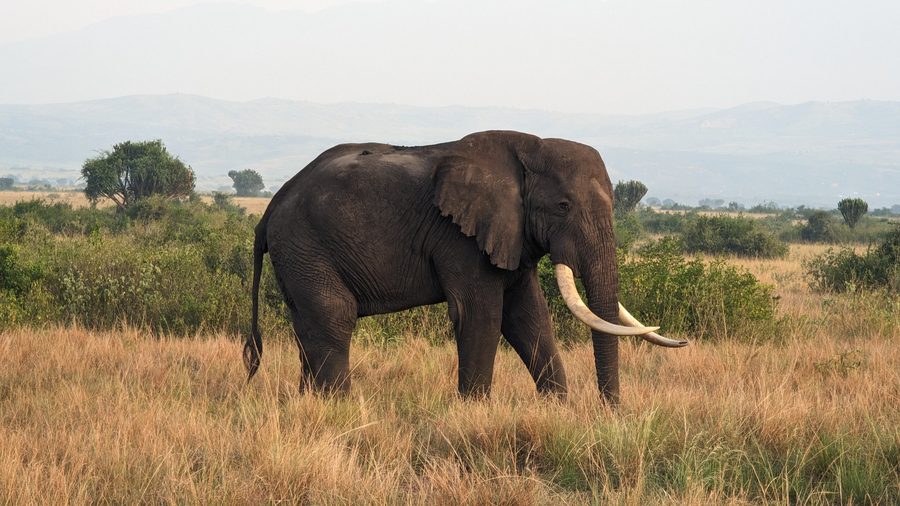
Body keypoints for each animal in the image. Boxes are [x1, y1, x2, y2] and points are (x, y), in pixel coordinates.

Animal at [243, 130, 687, 403]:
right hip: (306, 245)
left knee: (307, 325)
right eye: (563, 206)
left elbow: (529, 316)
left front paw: (559, 409)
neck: (530, 147)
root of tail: (271, 209)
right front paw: (475, 412)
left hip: (299, 254)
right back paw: (341, 409)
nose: (610, 411)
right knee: (333, 317)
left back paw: (308, 404)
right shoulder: (460, 238)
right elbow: (481, 313)